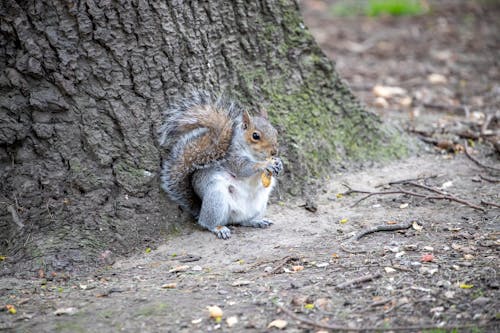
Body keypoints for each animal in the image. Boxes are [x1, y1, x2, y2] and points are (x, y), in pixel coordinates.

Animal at [158, 89, 284, 237]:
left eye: (275, 131)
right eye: (255, 136)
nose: (274, 152)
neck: (255, 155)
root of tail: (201, 208)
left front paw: (279, 163)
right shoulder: (232, 158)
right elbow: (244, 168)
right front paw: (265, 165)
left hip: (260, 203)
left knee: (244, 221)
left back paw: (256, 221)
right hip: (216, 199)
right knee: (206, 223)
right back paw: (219, 228)